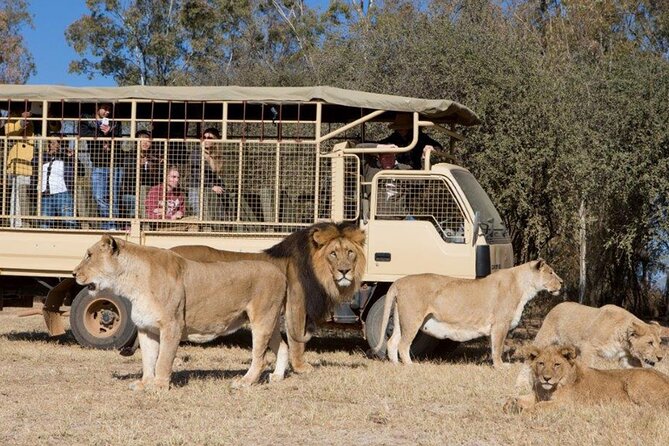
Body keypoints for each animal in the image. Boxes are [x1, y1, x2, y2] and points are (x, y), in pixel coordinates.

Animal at [73, 235, 288, 388]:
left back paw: (244, 382)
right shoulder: (146, 328)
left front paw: (159, 385)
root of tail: (281, 273)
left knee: (260, 357)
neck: (131, 283)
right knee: (283, 346)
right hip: (270, 322)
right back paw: (277, 376)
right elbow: (148, 359)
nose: (74, 273)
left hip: (262, 320)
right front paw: (144, 383)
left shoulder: (172, 325)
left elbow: (162, 360)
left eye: (89, 255)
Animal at [170, 222, 362, 372]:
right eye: (333, 253)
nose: (344, 271)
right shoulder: (296, 305)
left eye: (350, 252)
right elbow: (296, 339)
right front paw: (300, 367)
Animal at [374, 260, 560, 368]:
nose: (562, 282)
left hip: (401, 319)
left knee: (392, 342)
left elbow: (494, 347)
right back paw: (411, 366)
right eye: (551, 272)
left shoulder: (494, 327)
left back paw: (396, 365)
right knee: (403, 344)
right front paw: (501, 366)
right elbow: (498, 347)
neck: (525, 287)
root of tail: (399, 281)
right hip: (413, 319)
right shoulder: (500, 324)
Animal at [504, 344, 669, 412]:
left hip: (637, 382)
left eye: (557, 364)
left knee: (653, 408)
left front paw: (522, 411)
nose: (546, 378)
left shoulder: (565, 404)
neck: (549, 389)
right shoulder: (537, 395)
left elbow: (538, 407)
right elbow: (514, 397)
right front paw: (511, 405)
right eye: (541, 363)